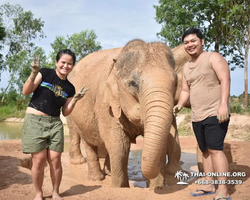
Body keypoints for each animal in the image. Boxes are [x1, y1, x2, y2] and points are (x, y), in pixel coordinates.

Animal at [65, 39, 190, 189]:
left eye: (176, 83)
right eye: (133, 84)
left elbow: (162, 141)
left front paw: (156, 188)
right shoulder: (106, 104)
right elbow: (120, 146)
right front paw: (120, 187)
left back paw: (108, 172)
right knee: (87, 141)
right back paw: (95, 177)